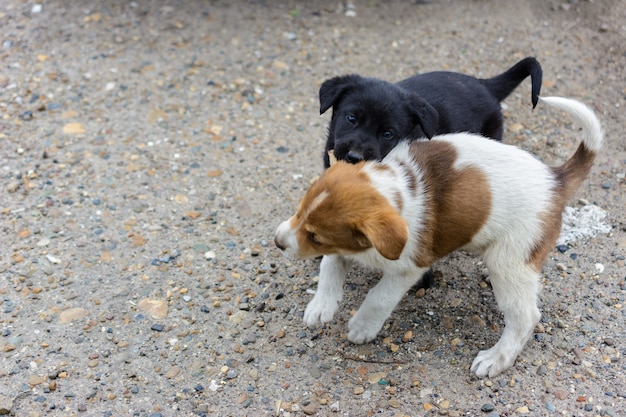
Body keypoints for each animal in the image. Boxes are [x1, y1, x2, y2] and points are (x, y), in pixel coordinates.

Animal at [276, 96, 604, 376]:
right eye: (299, 211)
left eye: (316, 237)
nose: (278, 242)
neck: (395, 189)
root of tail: (554, 180)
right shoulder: (346, 248)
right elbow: (329, 265)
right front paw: (321, 306)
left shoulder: (409, 268)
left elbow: (379, 296)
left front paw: (362, 327)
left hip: (511, 260)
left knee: (526, 317)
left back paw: (495, 359)